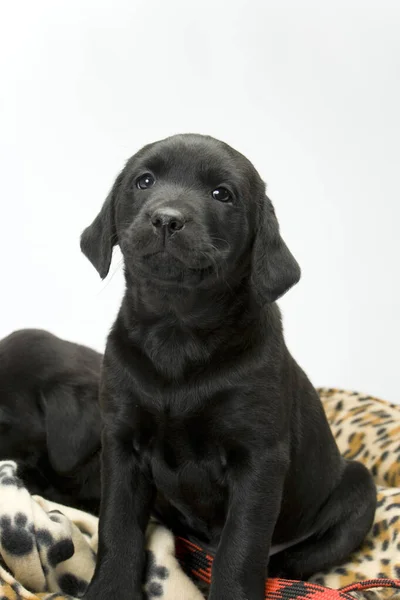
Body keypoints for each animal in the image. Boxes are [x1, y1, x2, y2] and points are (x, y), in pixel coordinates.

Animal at [80, 135, 376, 600]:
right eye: (143, 181)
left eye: (222, 194)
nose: (167, 219)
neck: (177, 331)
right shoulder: (121, 442)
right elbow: (118, 525)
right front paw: (109, 590)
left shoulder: (258, 459)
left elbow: (241, 546)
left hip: (359, 489)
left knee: (294, 559)